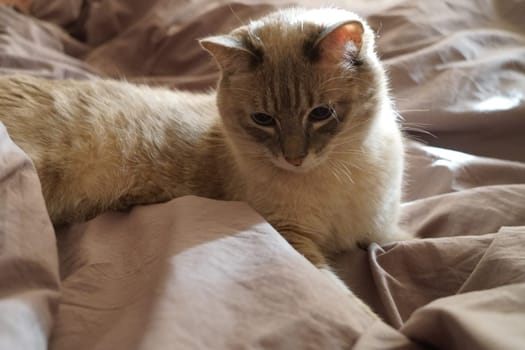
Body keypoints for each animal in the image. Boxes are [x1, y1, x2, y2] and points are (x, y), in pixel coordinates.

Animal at [0, 7, 406, 270]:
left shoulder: (382, 231)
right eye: (263, 120)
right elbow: (352, 302)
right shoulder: (293, 236)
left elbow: (404, 242)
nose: (294, 159)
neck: (340, 171)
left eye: (321, 114)